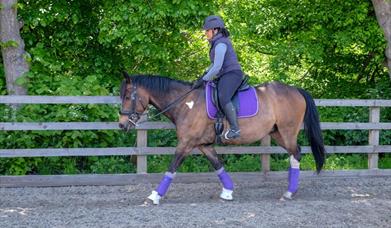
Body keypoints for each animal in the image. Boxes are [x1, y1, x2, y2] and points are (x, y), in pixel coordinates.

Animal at [118, 72, 326, 204]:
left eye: (128, 97)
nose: (121, 125)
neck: (187, 103)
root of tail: (296, 90)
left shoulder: (185, 144)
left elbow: (171, 168)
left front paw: (154, 196)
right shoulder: (203, 145)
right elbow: (218, 165)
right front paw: (228, 191)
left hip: (287, 132)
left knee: (296, 153)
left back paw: (289, 192)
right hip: (278, 133)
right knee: (295, 154)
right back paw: (290, 189)